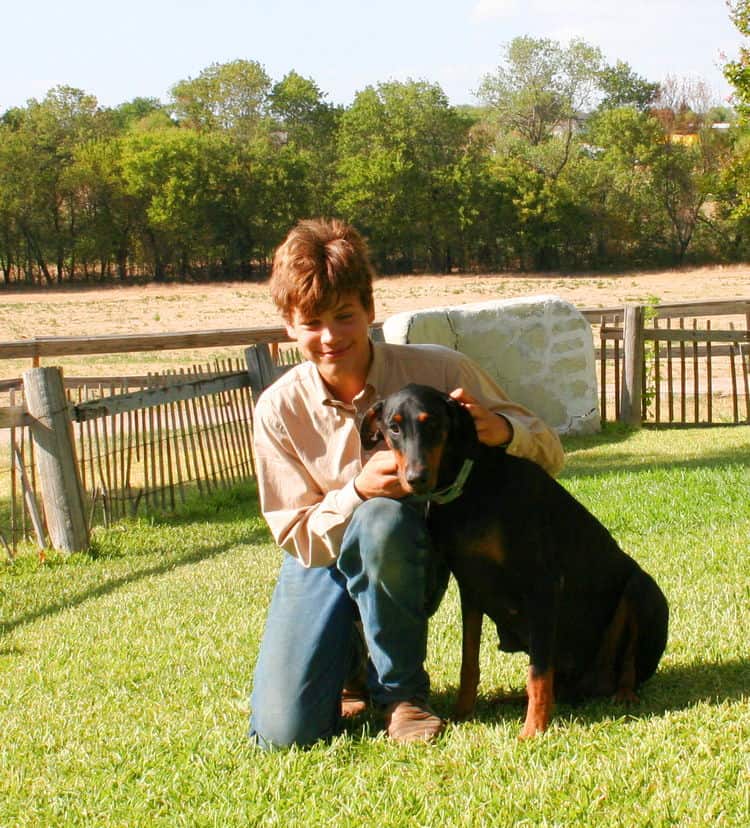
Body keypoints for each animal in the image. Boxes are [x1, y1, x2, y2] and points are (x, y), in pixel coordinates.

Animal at [362, 384, 672, 740]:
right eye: (394, 427)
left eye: (434, 422)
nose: (417, 478)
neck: (469, 488)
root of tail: (589, 685)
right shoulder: (471, 588)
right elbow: (469, 661)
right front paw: (462, 713)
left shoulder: (544, 585)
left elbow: (537, 672)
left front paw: (533, 729)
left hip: (642, 591)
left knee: (626, 663)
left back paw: (623, 693)